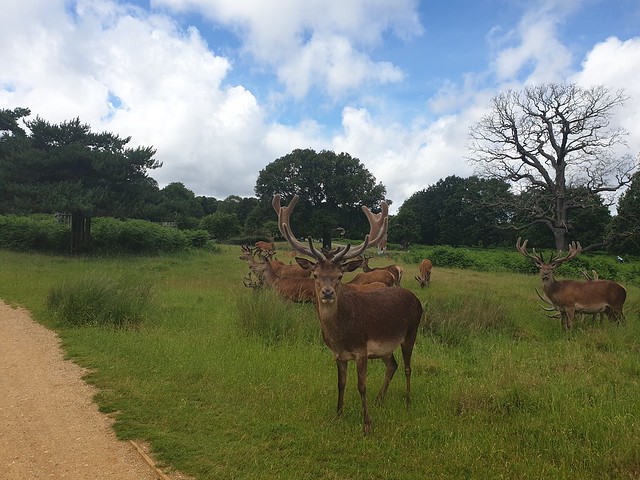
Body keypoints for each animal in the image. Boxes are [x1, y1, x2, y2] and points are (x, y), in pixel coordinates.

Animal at [272, 193, 424, 434]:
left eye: (339, 276)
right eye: (315, 275)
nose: (327, 292)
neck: (341, 334)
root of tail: (416, 298)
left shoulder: (362, 350)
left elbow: (361, 386)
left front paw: (367, 424)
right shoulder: (338, 354)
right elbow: (341, 383)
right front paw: (338, 414)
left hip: (411, 331)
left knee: (408, 367)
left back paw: (408, 400)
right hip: (386, 347)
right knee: (393, 365)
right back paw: (380, 399)